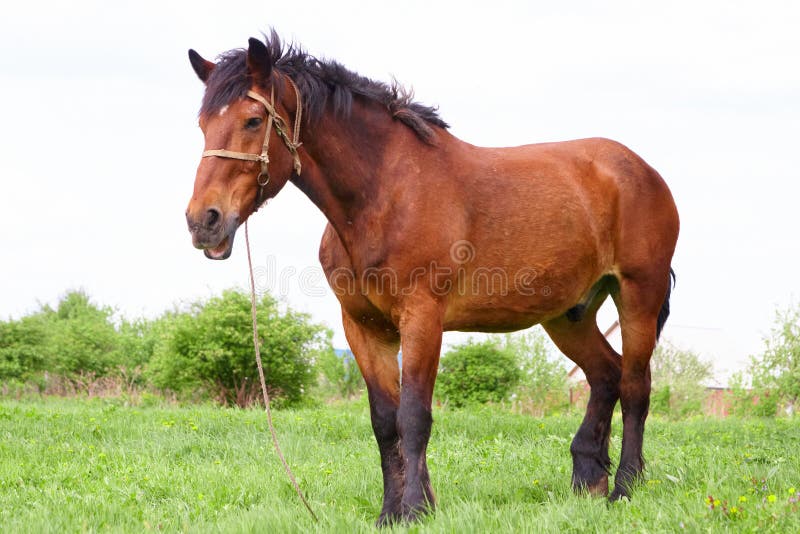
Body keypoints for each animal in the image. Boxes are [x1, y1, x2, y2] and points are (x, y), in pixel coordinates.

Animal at [185, 32, 679, 525]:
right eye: (203, 124)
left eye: (252, 120)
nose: (203, 221)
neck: (386, 194)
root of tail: (643, 171)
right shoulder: (363, 327)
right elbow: (385, 422)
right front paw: (391, 512)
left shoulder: (422, 319)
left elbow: (414, 416)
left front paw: (416, 509)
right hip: (567, 314)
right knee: (606, 374)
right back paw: (588, 478)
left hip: (639, 293)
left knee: (635, 385)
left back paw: (625, 487)